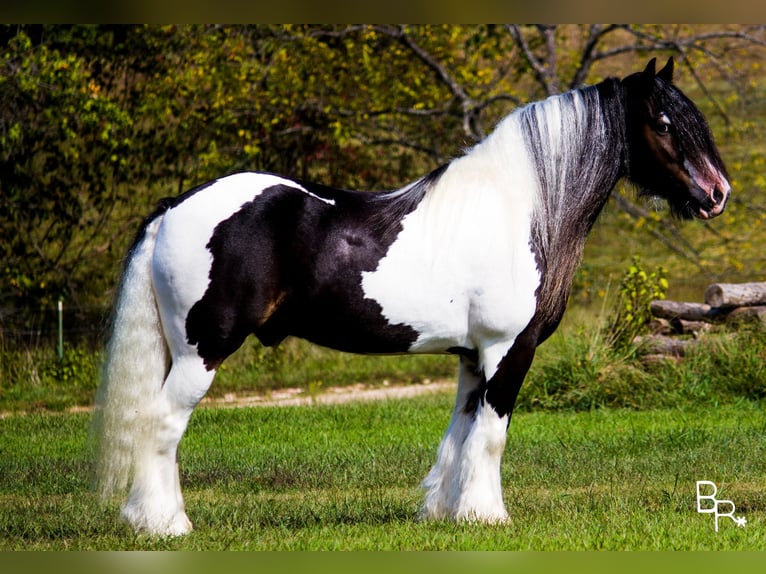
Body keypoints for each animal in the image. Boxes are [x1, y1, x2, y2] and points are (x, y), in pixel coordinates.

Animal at [94, 56, 732, 536]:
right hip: (203, 350)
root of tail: (176, 206)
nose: (718, 193)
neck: (518, 210)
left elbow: (461, 434)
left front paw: (450, 513)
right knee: (161, 425)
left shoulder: (473, 356)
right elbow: (492, 434)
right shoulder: (509, 349)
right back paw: (166, 526)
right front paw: (489, 516)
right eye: (664, 123)